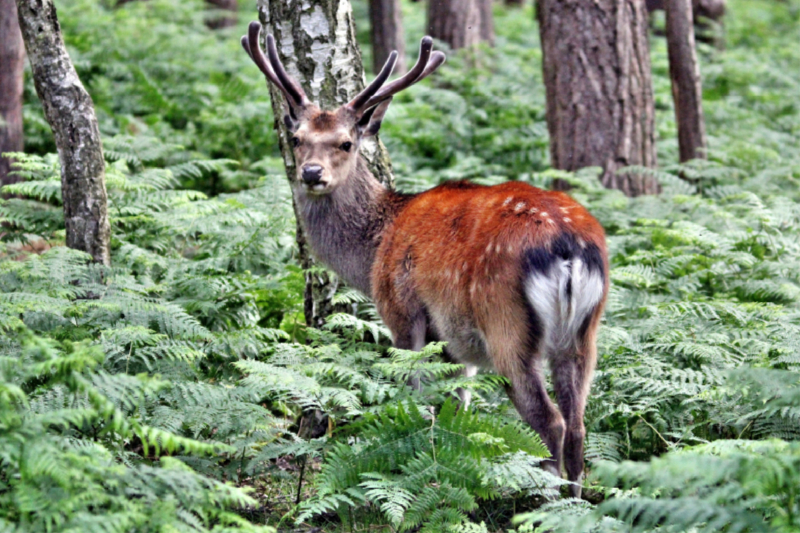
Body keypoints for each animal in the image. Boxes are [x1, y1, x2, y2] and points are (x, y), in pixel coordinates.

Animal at [241, 19, 608, 494]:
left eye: (345, 142)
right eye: (297, 138)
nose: (311, 173)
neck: (375, 248)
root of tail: (568, 247)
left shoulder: (403, 313)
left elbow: (418, 397)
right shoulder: (457, 346)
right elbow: (457, 405)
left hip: (506, 323)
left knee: (552, 422)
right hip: (584, 333)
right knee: (579, 425)